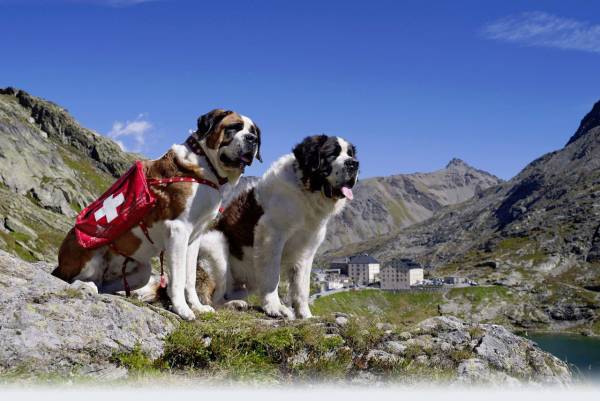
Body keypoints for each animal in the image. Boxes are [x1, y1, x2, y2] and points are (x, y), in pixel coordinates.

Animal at [53, 108, 262, 320]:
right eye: (233, 127)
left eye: (253, 132)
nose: (251, 139)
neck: (204, 164)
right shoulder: (178, 231)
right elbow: (178, 278)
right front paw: (182, 310)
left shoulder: (194, 238)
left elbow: (190, 278)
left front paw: (197, 306)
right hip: (89, 256)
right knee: (76, 279)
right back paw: (87, 285)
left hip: (142, 271)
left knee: (106, 285)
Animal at [195, 134, 358, 318]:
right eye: (331, 154)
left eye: (350, 154)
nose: (354, 163)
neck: (305, 195)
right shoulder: (271, 236)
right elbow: (272, 277)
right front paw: (274, 307)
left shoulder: (306, 250)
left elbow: (302, 287)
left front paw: (305, 315)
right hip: (216, 242)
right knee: (213, 300)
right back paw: (230, 305)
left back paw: (236, 303)